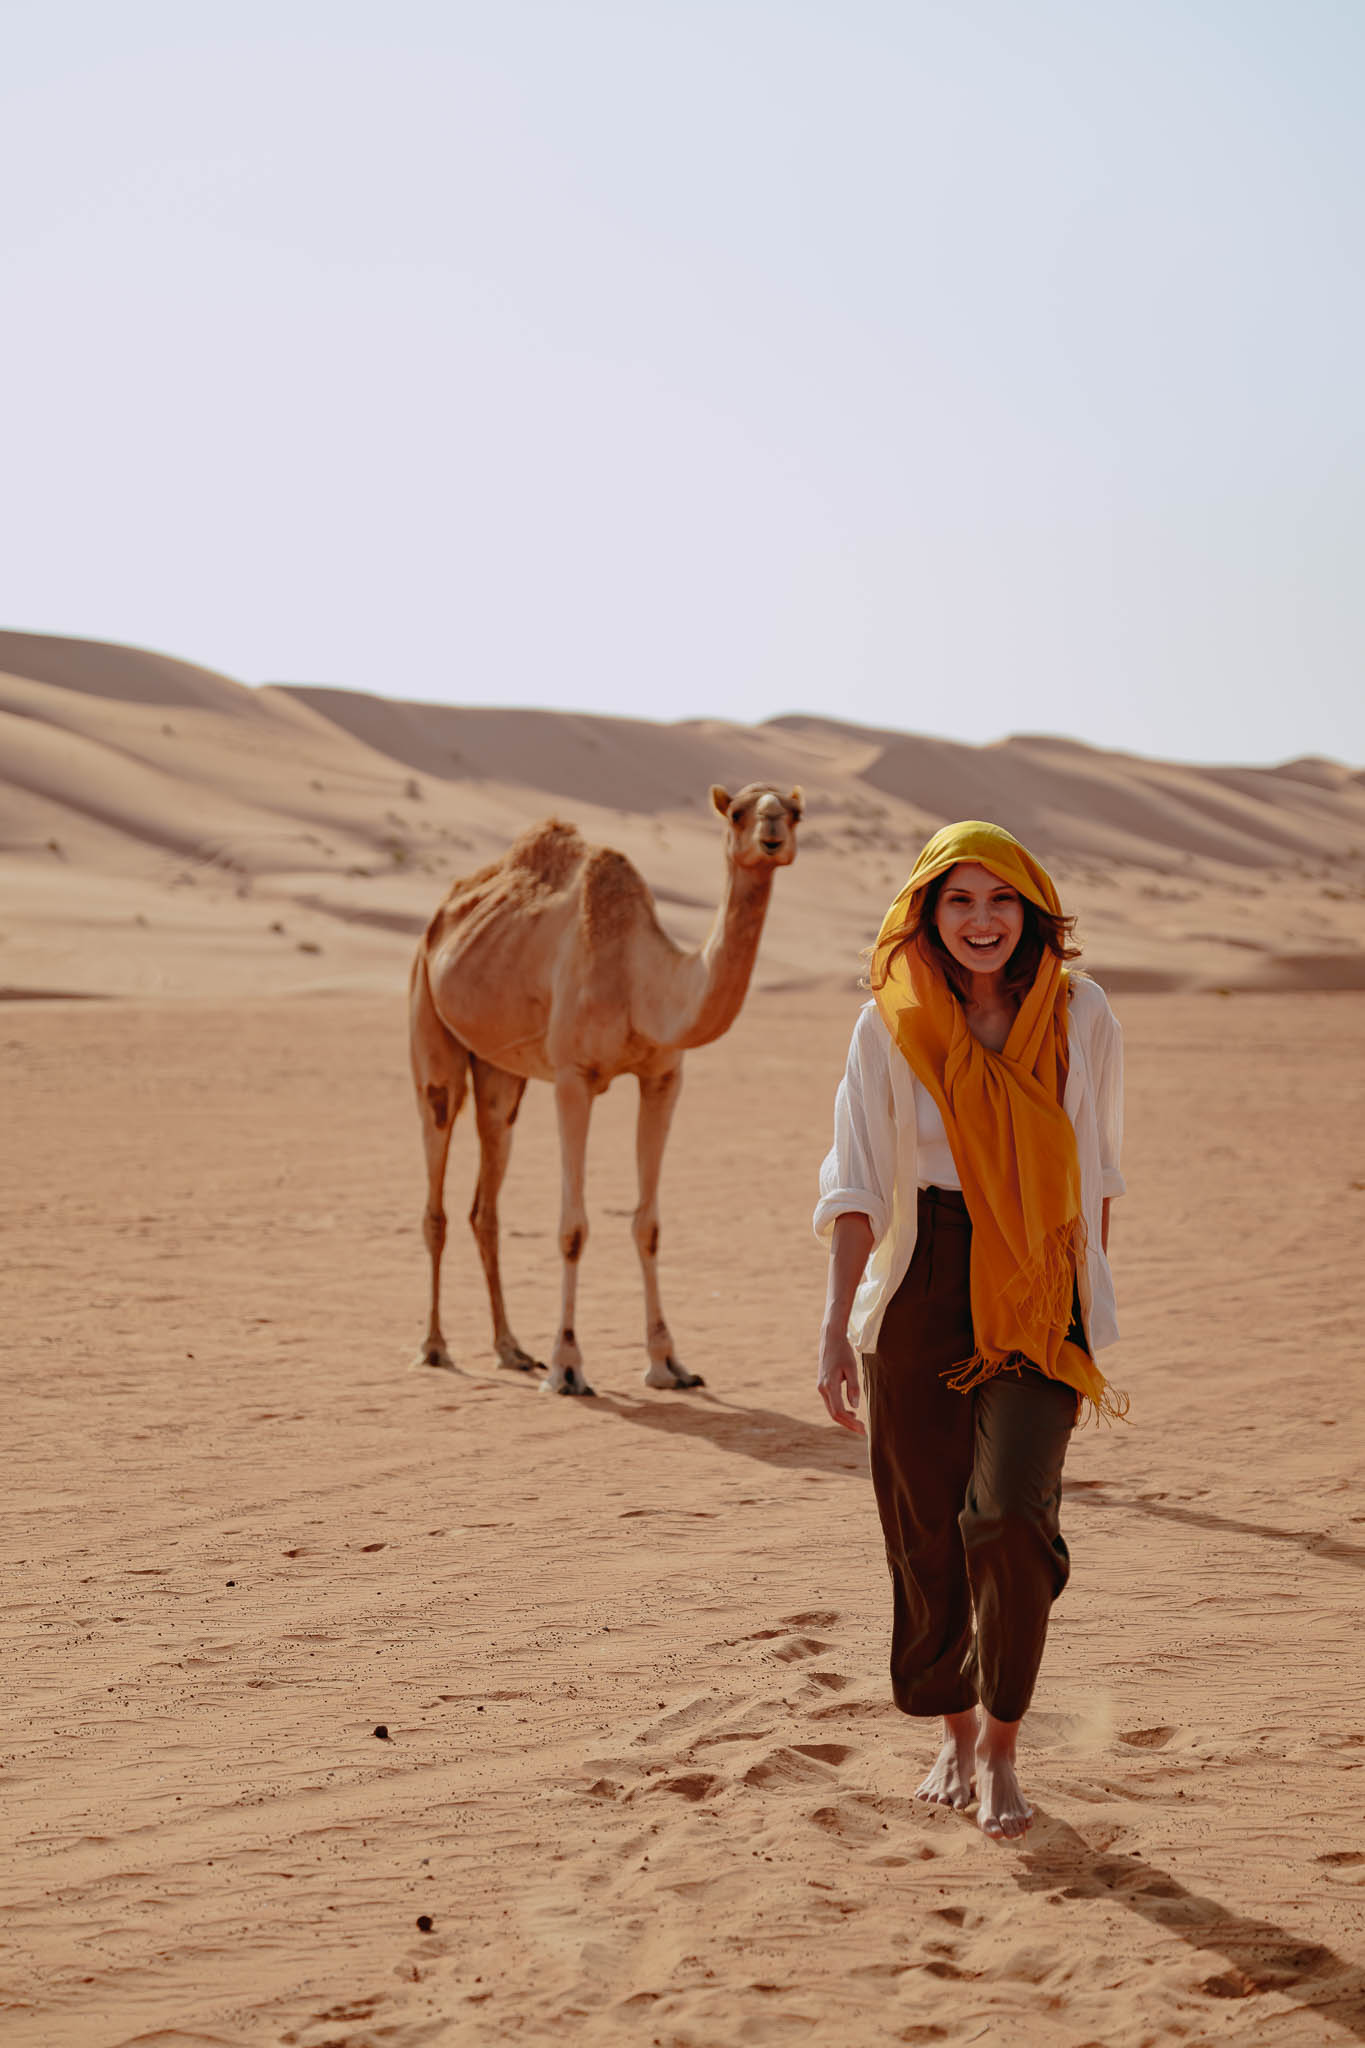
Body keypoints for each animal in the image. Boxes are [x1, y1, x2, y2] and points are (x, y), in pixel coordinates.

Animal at [408, 782, 802, 1394]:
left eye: (796, 811)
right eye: (738, 811)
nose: (772, 834)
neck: (639, 980)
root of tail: (439, 922)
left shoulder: (664, 1077)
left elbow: (649, 1224)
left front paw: (668, 1363)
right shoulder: (573, 1078)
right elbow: (572, 1227)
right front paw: (568, 1366)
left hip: (501, 1073)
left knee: (486, 1201)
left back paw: (510, 1349)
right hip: (429, 1020)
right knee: (438, 1182)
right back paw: (434, 1347)